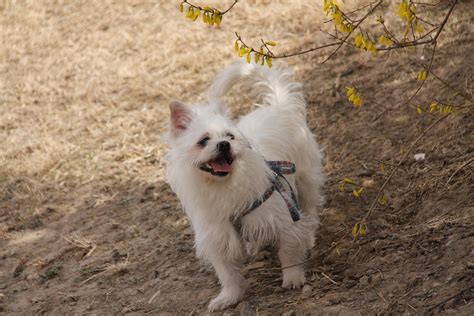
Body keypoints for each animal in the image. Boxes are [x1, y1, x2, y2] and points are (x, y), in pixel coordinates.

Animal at [165, 61, 324, 312]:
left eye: (230, 136)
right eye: (203, 141)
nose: (223, 144)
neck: (225, 185)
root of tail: (278, 106)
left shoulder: (283, 219)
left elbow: (289, 252)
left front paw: (293, 278)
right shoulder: (218, 237)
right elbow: (228, 274)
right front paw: (229, 297)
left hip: (306, 182)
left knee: (310, 211)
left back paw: (308, 237)